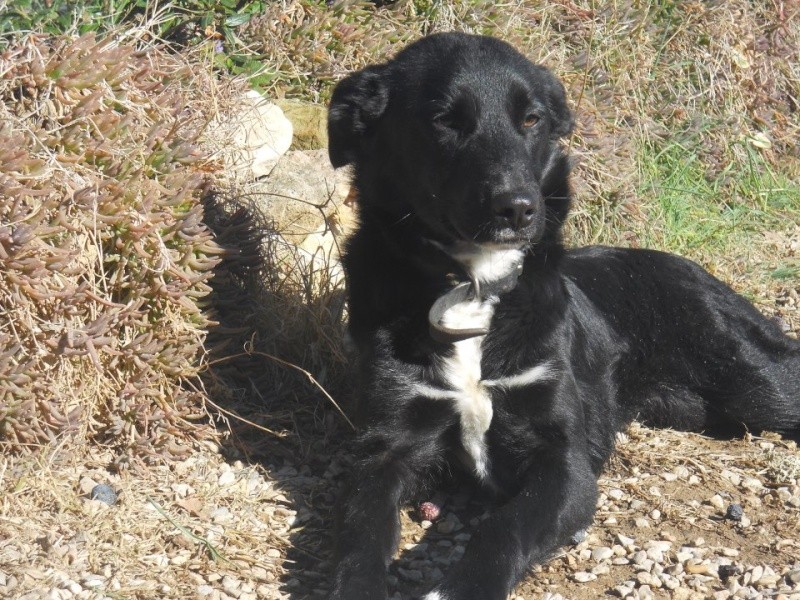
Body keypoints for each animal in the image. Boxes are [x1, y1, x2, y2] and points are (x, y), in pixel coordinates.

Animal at [324, 32, 800, 600]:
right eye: (443, 120)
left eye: (531, 119)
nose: (517, 208)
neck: (475, 286)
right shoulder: (383, 447)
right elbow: (361, 535)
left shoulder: (563, 460)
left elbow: (506, 527)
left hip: (755, 382)